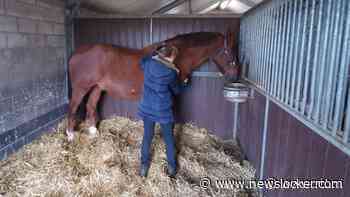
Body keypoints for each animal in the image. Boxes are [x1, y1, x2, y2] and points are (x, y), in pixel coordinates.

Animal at [67, 30, 239, 141]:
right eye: (230, 52)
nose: (234, 75)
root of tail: (76, 53)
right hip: (81, 88)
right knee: (73, 108)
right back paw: (70, 135)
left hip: (97, 88)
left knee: (90, 106)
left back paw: (93, 132)